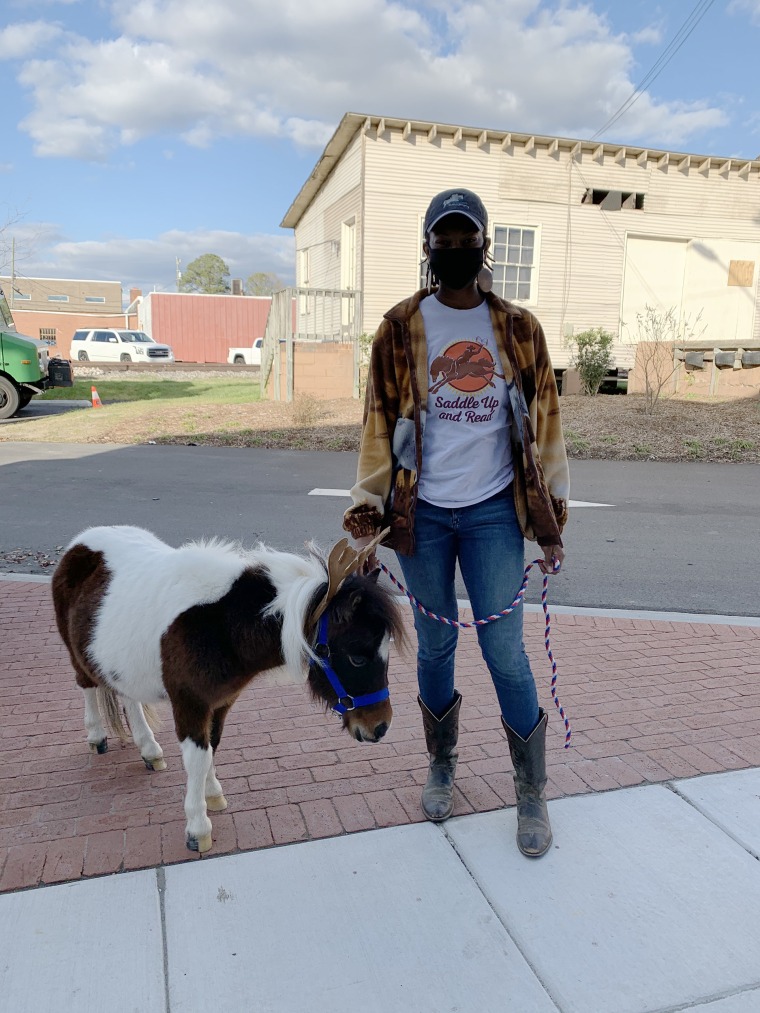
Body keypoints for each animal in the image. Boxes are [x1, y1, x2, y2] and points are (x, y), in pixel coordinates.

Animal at [52, 526, 405, 850]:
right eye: (357, 657)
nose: (380, 726)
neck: (222, 624)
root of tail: (78, 543)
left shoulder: (220, 703)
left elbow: (211, 747)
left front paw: (212, 794)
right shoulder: (190, 704)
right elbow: (197, 756)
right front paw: (198, 826)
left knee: (128, 698)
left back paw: (149, 750)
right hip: (76, 654)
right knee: (86, 685)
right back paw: (97, 736)